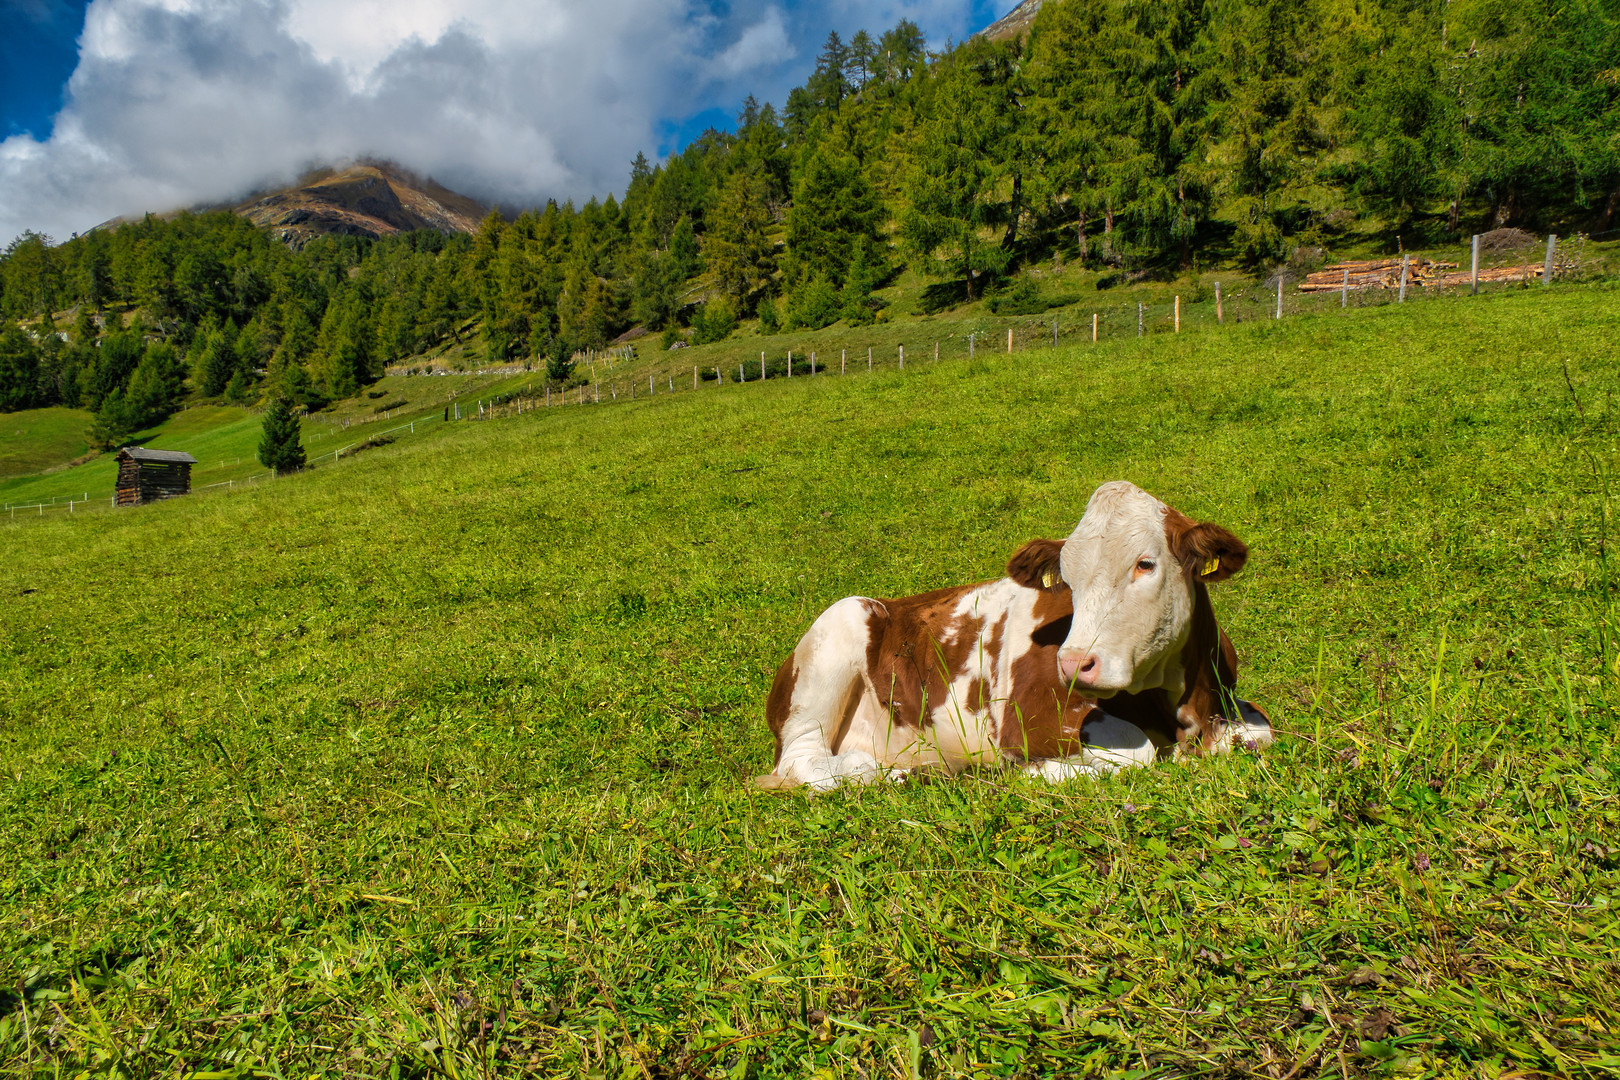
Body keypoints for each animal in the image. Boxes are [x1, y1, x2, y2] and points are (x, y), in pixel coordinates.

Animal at [758, 485, 1276, 790]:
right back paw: (874, 772)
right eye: (1067, 579)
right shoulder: (1029, 715)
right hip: (834, 637)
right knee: (801, 762)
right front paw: (1033, 768)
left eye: (1145, 564)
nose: (1073, 663)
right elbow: (1137, 756)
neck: (1179, 705)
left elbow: (1260, 731)